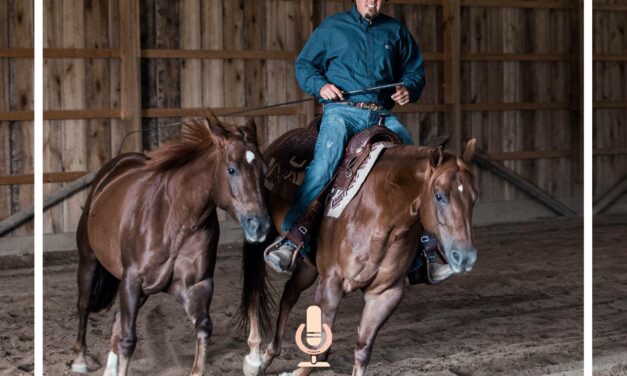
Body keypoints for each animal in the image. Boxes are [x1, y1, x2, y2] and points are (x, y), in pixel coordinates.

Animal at [71, 115, 272, 376]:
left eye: (264, 171)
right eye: (231, 169)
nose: (260, 226)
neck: (175, 217)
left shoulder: (196, 285)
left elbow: (203, 328)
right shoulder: (132, 280)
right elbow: (128, 340)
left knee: (116, 320)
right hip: (89, 261)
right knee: (85, 305)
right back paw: (79, 360)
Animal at [243, 139, 478, 376]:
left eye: (474, 198)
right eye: (439, 196)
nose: (466, 257)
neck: (381, 215)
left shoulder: (385, 294)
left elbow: (362, 351)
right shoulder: (331, 283)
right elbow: (321, 347)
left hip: (309, 264)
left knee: (289, 294)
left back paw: (268, 355)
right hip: (260, 235)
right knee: (254, 288)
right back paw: (254, 360)